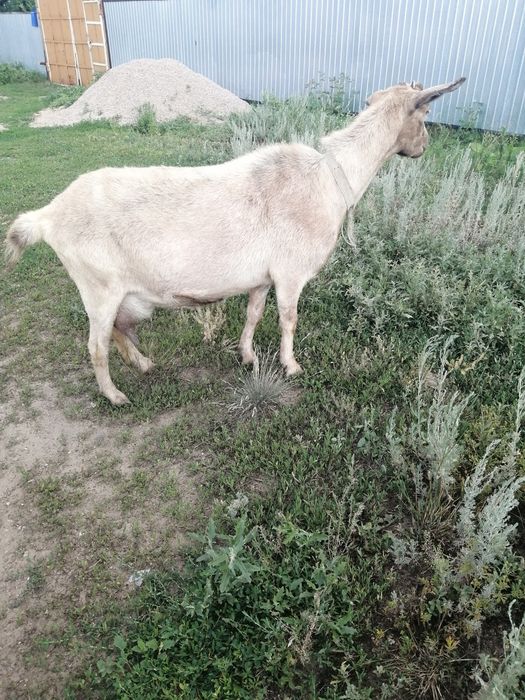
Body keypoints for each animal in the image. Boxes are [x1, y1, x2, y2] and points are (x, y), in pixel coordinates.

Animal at [5, 78, 465, 405]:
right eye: (425, 113)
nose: (424, 147)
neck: (330, 179)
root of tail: (48, 216)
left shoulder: (261, 276)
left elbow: (253, 314)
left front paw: (247, 356)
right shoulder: (291, 273)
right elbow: (288, 319)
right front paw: (291, 366)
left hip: (122, 294)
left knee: (118, 330)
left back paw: (144, 363)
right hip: (97, 286)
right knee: (96, 345)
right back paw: (116, 395)